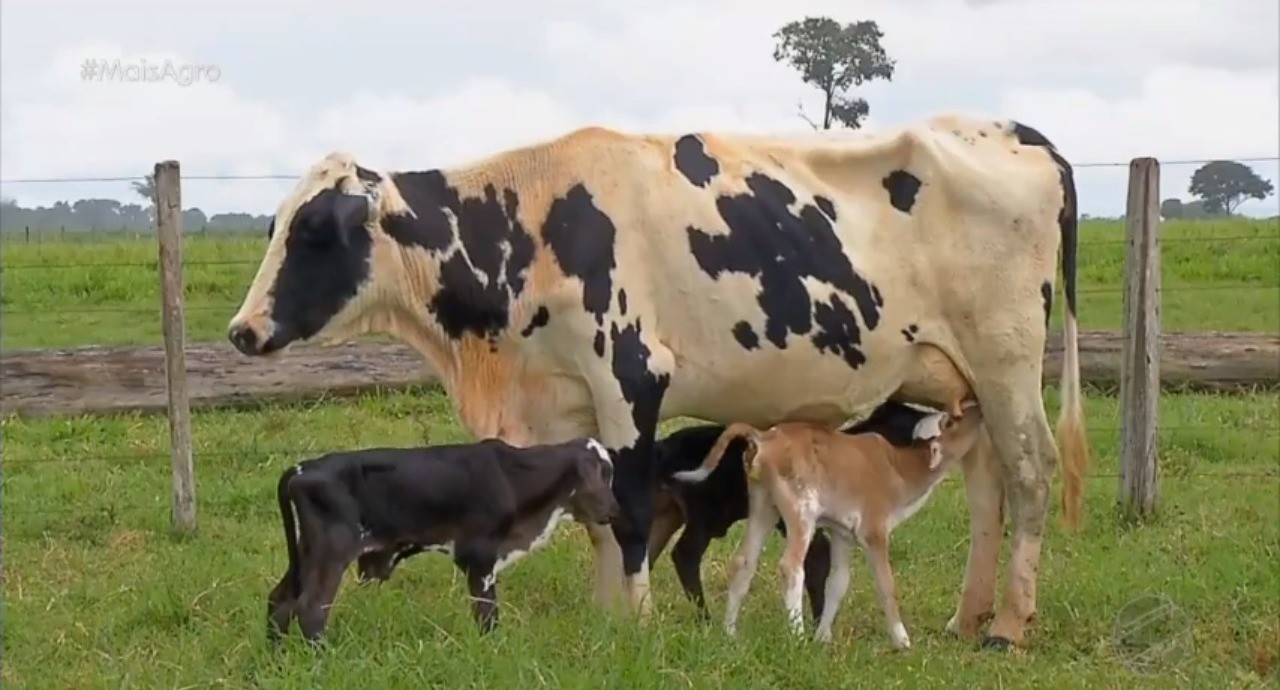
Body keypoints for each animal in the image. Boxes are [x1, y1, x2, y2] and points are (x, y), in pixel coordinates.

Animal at [226, 111, 1091, 650]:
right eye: (274, 224)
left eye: (315, 229)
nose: (243, 330)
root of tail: (1011, 131)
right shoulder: (572, 402)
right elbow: (599, 520)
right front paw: (607, 620)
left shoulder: (630, 382)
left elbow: (634, 514)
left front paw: (634, 623)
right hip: (961, 380)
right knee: (986, 486)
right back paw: (968, 618)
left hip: (1009, 362)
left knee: (1030, 474)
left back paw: (1008, 626)